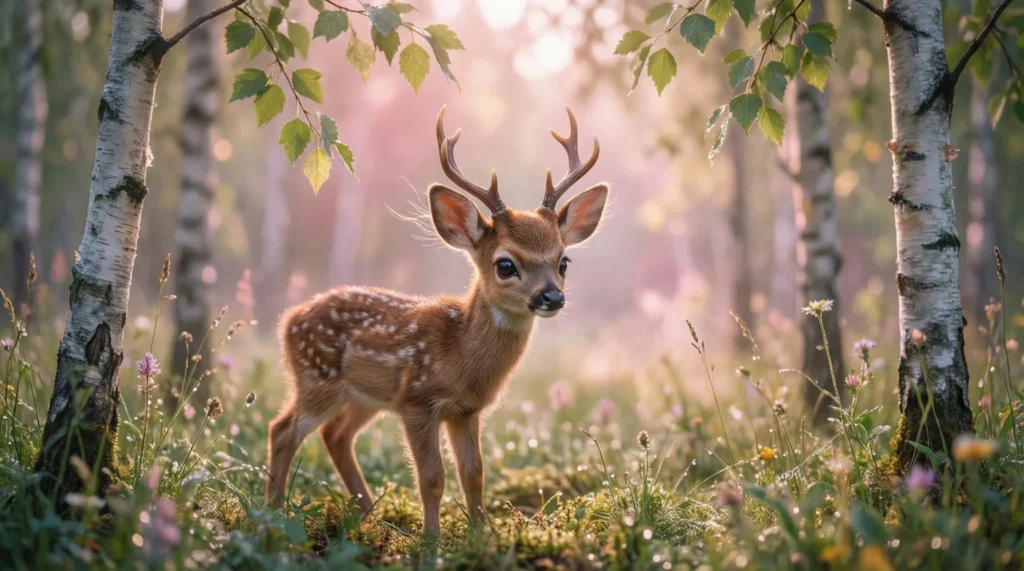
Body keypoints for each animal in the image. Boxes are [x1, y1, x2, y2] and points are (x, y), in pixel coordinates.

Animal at [265, 106, 608, 536]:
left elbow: (473, 475)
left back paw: (367, 515)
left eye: (563, 261)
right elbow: (432, 478)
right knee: (282, 430)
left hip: (363, 395)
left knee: (335, 435)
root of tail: (288, 321)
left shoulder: (467, 411)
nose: (552, 297)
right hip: (317, 377)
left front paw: (481, 534)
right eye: (506, 265)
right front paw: (431, 541)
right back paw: (273, 513)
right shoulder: (418, 401)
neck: (460, 356)